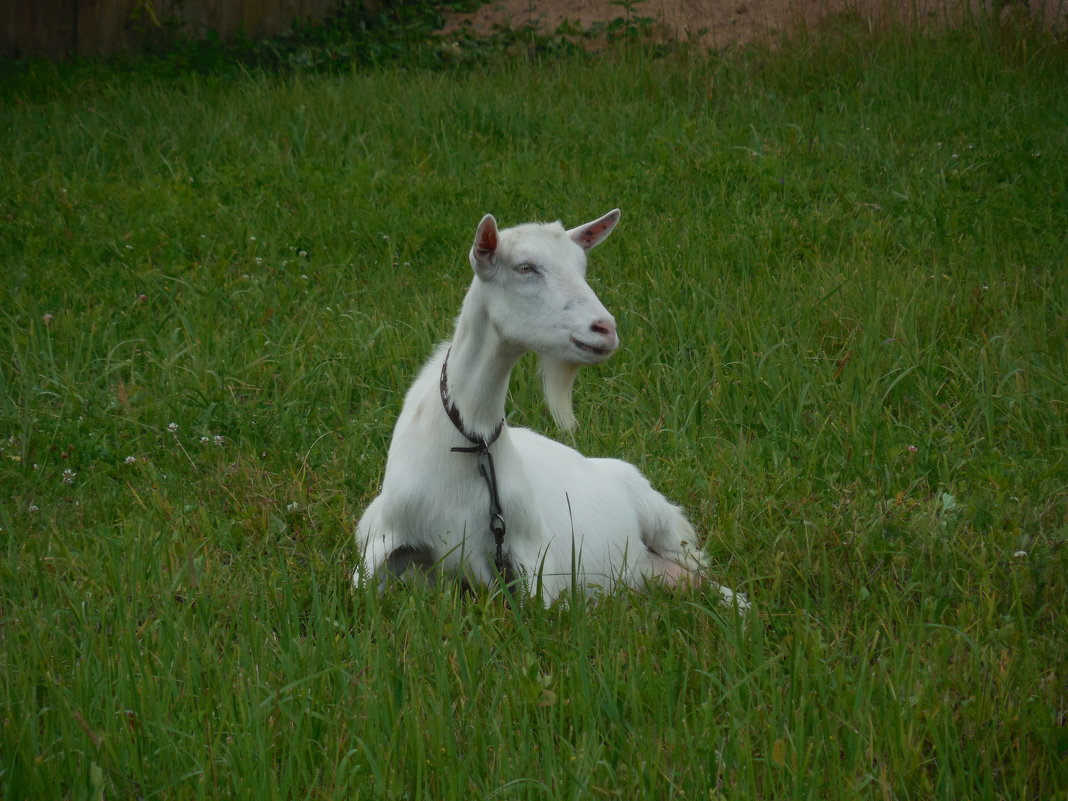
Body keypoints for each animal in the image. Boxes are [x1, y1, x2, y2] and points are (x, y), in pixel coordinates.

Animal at [354, 208, 747, 606]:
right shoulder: (383, 539)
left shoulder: (534, 559)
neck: (468, 443)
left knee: (698, 568)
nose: (605, 329)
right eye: (525, 267)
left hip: (662, 520)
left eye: (581, 266)